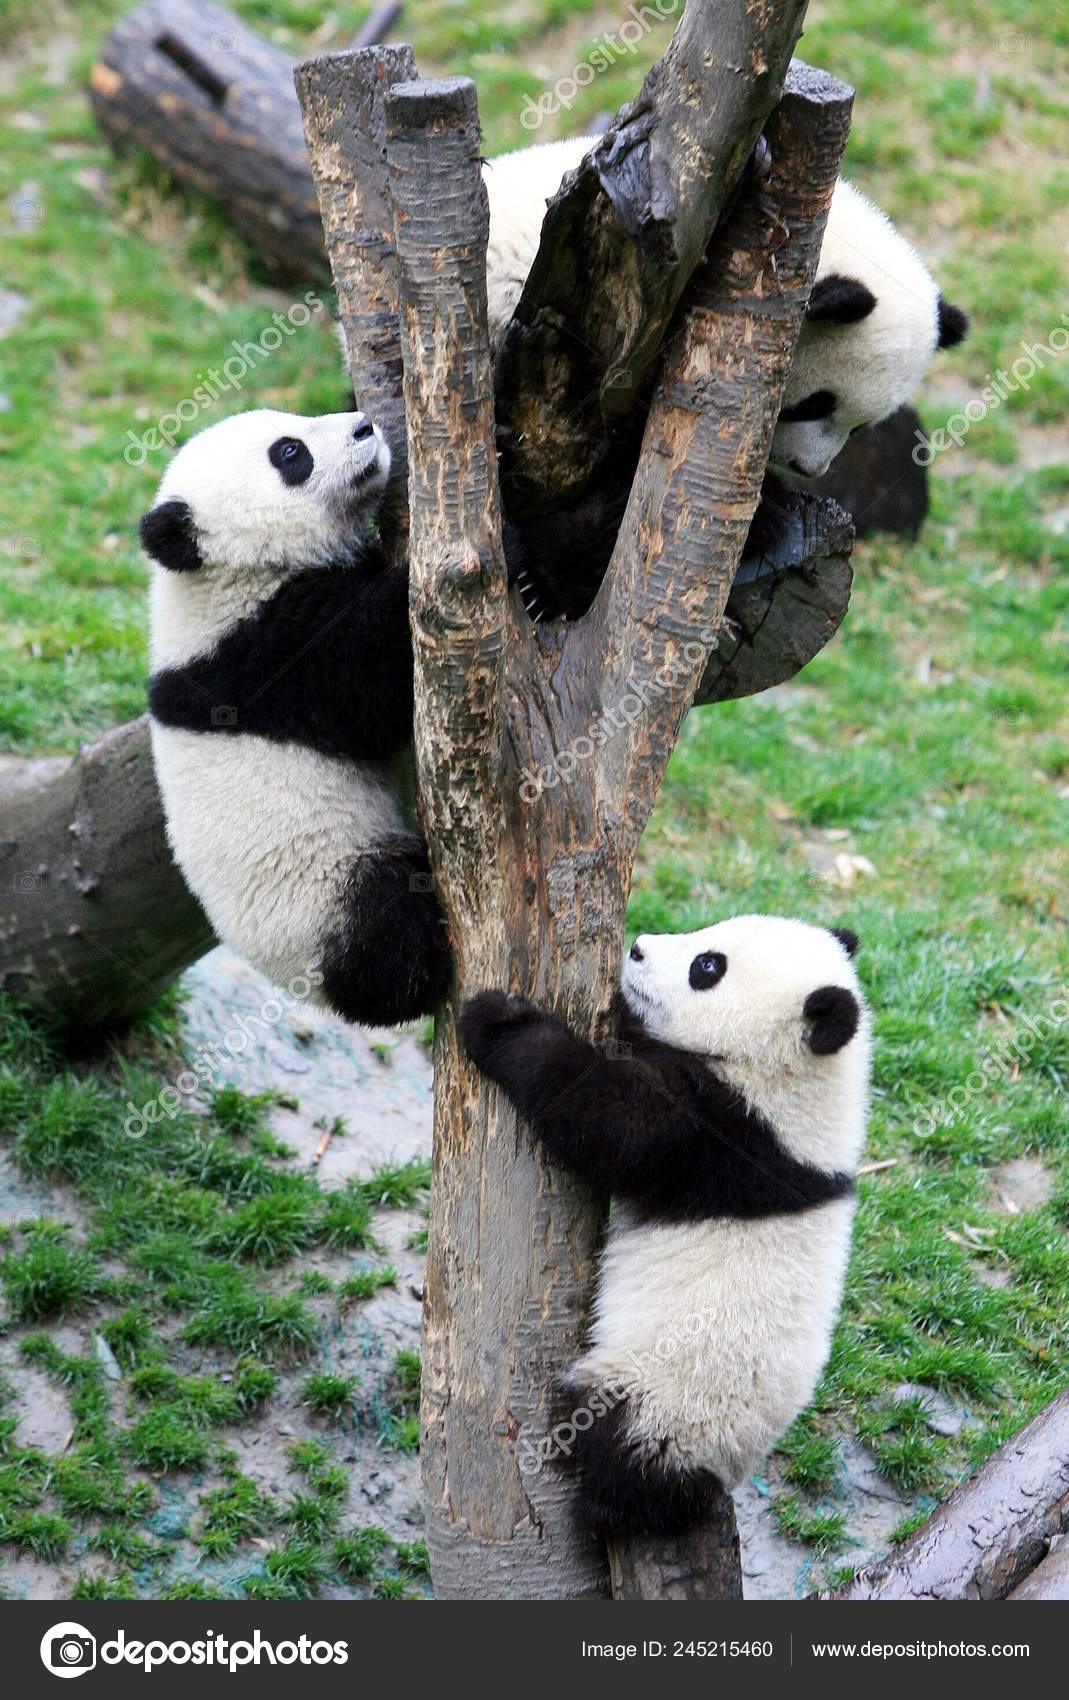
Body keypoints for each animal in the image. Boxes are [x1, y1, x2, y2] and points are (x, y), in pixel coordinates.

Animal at [143, 407, 450, 1028]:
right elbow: (366, 680)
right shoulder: (255, 659)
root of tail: (304, 989)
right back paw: (422, 968)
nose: (364, 427)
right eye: (290, 453)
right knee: (384, 924)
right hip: (318, 896)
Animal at [460, 915, 870, 1538]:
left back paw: (604, 1504)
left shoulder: (725, 1139)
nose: (636, 948)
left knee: (621, 1446)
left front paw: (499, 1021)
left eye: (708, 966)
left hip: (669, 1403)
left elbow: (611, 1120)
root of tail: (713, 1478)